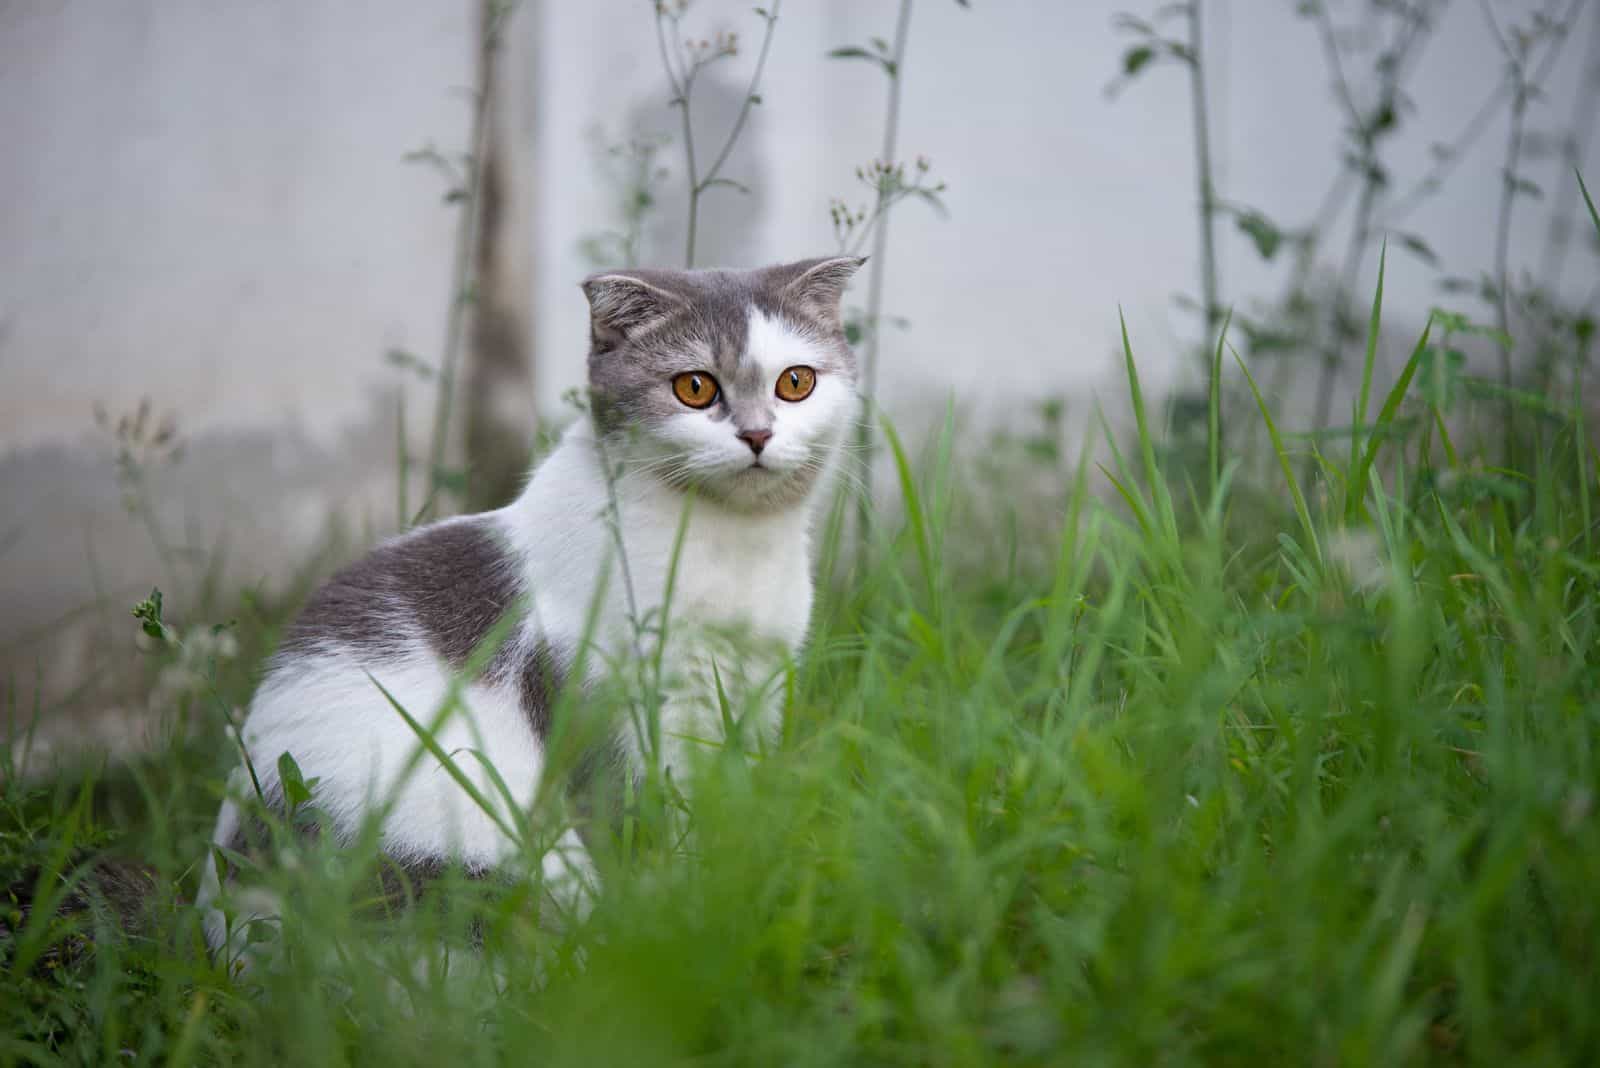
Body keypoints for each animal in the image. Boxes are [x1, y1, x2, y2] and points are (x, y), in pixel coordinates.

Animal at [203, 254, 876, 952]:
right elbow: (640, 820)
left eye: (795, 382)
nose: (757, 433)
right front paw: (674, 910)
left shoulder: (758, 687)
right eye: (694, 388)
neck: (732, 546)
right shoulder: (609, 702)